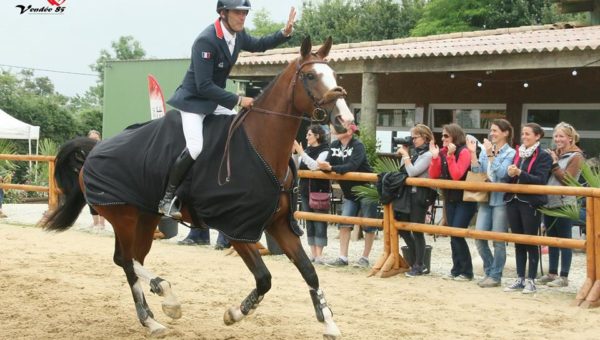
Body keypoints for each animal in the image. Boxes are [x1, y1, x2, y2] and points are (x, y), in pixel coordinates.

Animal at [43, 36, 352, 338]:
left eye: (335, 75)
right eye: (310, 76)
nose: (345, 120)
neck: (261, 147)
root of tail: (95, 149)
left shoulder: (278, 225)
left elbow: (309, 271)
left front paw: (329, 323)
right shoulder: (238, 229)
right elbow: (264, 279)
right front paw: (234, 314)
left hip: (145, 217)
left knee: (131, 258)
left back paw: (155, 313)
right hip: (123, 216)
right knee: (126, 260)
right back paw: (162, 301)